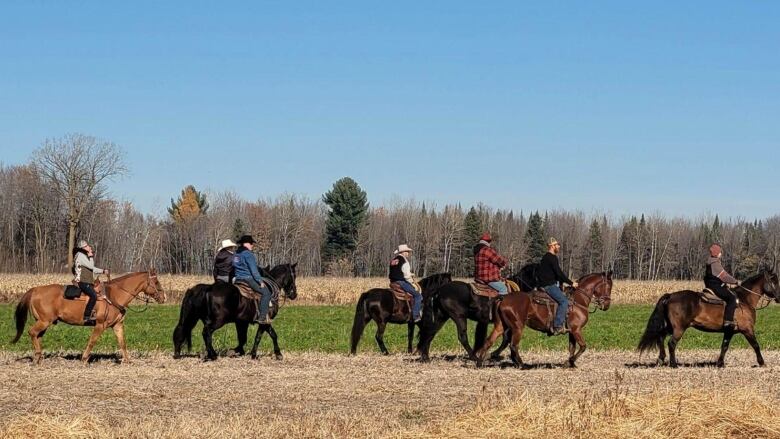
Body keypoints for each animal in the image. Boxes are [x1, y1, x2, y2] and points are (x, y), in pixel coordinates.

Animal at [10, 270, 166, 366]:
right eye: (156, 282)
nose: (163, 297)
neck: (114, 295)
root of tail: (35, 290)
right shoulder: (100, 325)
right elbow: (92, 341)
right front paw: (84, 359)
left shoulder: (117, 325)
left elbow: (122, 343)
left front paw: (127, 361)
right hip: (44, 321)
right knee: (32, 333)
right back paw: (37, 357)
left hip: (44, 322)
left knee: (37, 336)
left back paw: (39, 357)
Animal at [472, 274, 612, 370]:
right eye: (609, 286)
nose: (606, 305)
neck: (578, 300)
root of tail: (503, 298)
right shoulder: (576, 330)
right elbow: (583, 346)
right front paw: (569, 362)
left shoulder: (572, 332)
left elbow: (572, 348)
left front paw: (571, 363)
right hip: (517, 327)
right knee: (513, 345)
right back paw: (522, 365)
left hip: (501, 326)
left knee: (489, 341)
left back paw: (479, 363)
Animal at [636, 268, 776, 368]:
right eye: (774, 281)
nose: (778, 298)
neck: (744, 300)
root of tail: (670, 295)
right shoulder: (747, 329)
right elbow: (756, 345)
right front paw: (762, 362)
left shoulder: (729, 331)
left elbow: (724, 346)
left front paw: (720, 364)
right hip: (679, 328)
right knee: (671, 343)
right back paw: (674, 364)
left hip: (669, 326)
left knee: (660, 338)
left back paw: (661, 359)